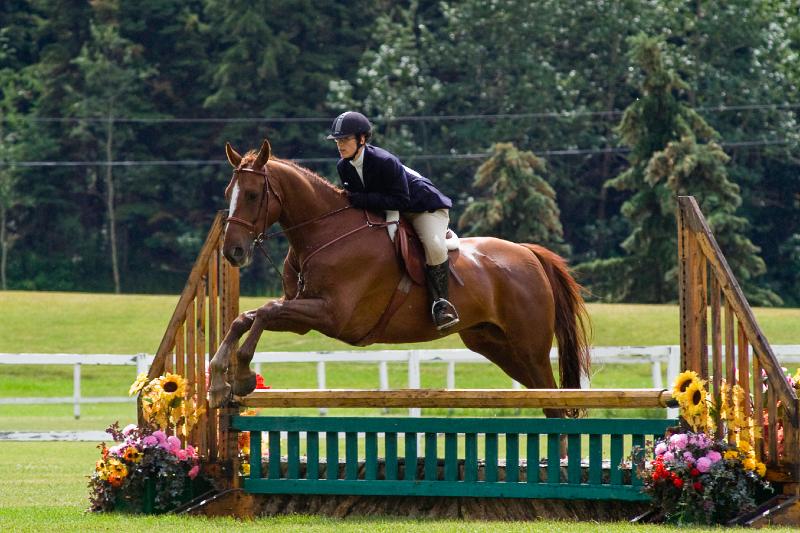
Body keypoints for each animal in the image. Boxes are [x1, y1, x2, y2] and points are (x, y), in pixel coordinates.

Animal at [209, 137, 592, 412]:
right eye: (227, 193)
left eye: (253, 195)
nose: (232, 252)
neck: (324, 232)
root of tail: (528, 253)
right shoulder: (304, 312)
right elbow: (247, 317)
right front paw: (217, 381)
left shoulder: (332, 313)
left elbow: (266, 311)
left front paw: (241, 375)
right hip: (495, 344)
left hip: (530, 347)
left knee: (556, 402)